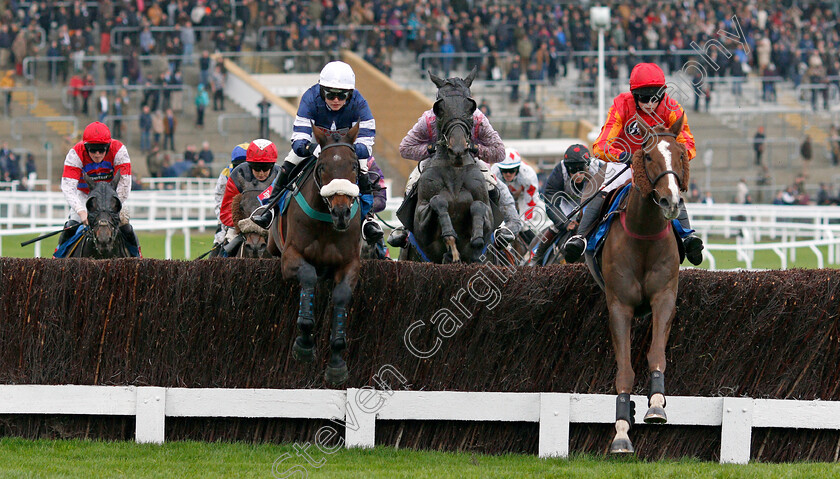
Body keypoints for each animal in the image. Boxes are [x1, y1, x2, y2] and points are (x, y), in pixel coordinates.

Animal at [268, 124, 362, 386]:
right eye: (322, 167)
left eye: (354, 165)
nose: (341, 212)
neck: (327, 222)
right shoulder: (290, 256)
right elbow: (309, 276)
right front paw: (304, 344)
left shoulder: (350, 263)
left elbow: (341, 296)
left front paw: (337, 364)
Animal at [400, 69, 492, 262]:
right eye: (439, 108)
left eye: (470, 106)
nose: (458, 149)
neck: (455, 170)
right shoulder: (421, 223)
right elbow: (438, 200)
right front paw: (450, 239)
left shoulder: (487, 211)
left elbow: (479, 205)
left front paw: (477, 238)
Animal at [592, 116, 688, 454]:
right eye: (647, 157)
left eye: (681, 154)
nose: (671, 201)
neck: (644, 234)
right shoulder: (619, 306)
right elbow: (624, 371)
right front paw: (621, 432)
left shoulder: (665, 297)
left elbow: (656, 353)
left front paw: (657, 404)